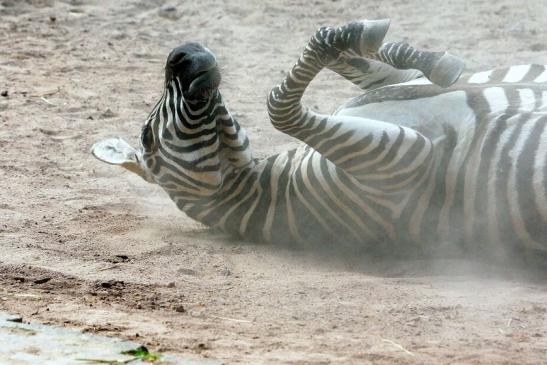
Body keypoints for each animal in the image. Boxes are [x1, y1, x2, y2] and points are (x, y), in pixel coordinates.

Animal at [92, 19, 547, 258]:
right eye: (146, 137)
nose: (181, 52)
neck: (265, 189)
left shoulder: (392, 89)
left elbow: (370, 59)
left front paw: (416, 52)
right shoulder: (402, 162)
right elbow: (277, 106)